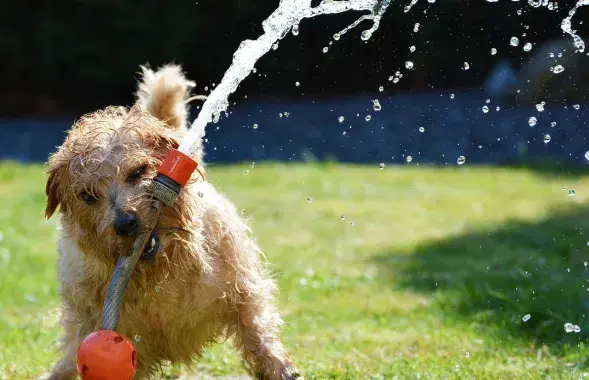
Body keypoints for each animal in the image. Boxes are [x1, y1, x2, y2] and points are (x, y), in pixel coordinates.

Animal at [44, 63, 298, 378]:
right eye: (88, 195)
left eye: (138, 171)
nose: (125, 223)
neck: (160, 272)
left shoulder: (242, 292)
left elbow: (259, 334)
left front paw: (280, 368)